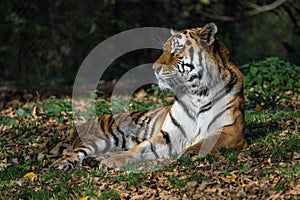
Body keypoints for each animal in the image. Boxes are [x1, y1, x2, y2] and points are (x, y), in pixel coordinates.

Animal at [39, 23, 246, 170]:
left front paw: (187, 153)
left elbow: (202, 143)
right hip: (100, 139)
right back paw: (62, 164)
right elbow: (140, 148)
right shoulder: (169, 135)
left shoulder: (230, 130)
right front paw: (115, 161)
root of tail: (79, 128)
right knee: (76, 153)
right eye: (163, 50)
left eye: (176, 51)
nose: (154, 68)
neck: (196, 93)